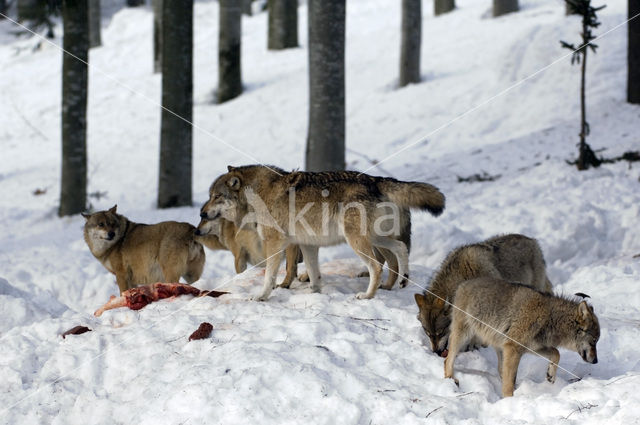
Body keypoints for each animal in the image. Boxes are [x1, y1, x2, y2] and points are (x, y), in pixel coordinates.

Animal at [201, 164, 444, 300]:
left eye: (216, 196)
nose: (202, 213)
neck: (257, 195)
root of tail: (375, 180)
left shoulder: (274, 244)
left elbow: (270, 276)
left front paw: (262, 296)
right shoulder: (307, 244)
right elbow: (313, 273)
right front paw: (314, 294)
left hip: (358, 241)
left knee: (376, 266)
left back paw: (368, 295)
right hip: (375, 238)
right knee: (401, 248)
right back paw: (403, 281)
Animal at [416, 234, 552, 356]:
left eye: (441, 332)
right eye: (427, 333)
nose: (436, 352)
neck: (463, 275)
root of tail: (533, 241)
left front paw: (474, 345)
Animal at [444, 276, 600, 396]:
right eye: (593, 341)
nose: (596, 361)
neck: (550, 318)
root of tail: (463, 284)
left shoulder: (532, 348)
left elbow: (556, 353)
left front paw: (550, 375)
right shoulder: (513, 348)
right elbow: (508, 384)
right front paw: (508, 401)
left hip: (500, 348)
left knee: (501, 371)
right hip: (463, 336)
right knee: (447, 359)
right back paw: (451, 380)